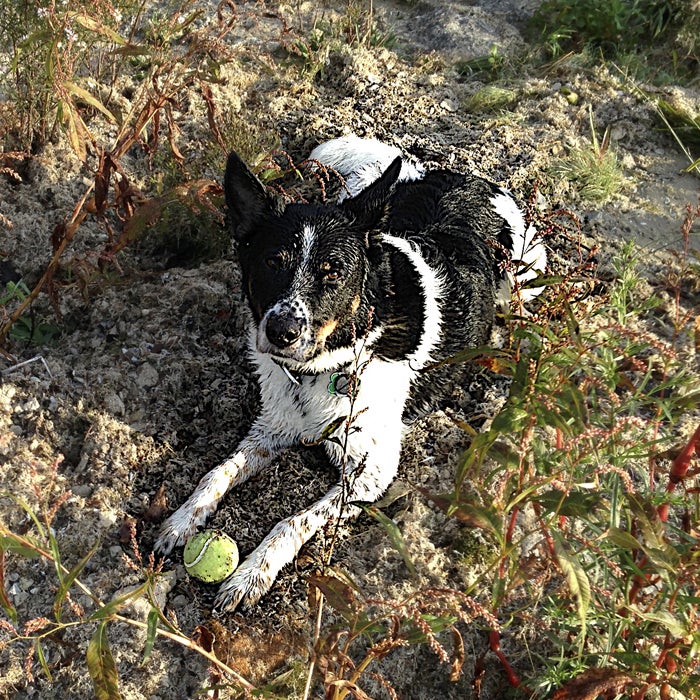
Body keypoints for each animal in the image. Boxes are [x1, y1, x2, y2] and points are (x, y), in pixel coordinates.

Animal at [154, 135, 548, 608]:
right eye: (272, 263)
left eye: (334, 273)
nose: (281, 331)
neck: (320, 368)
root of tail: (467, 177)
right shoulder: (273, 427)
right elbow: (218, 472)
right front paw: (182, 520)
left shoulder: (372, 469)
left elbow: (293, 520)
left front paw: (252, 575)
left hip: (527, 273)